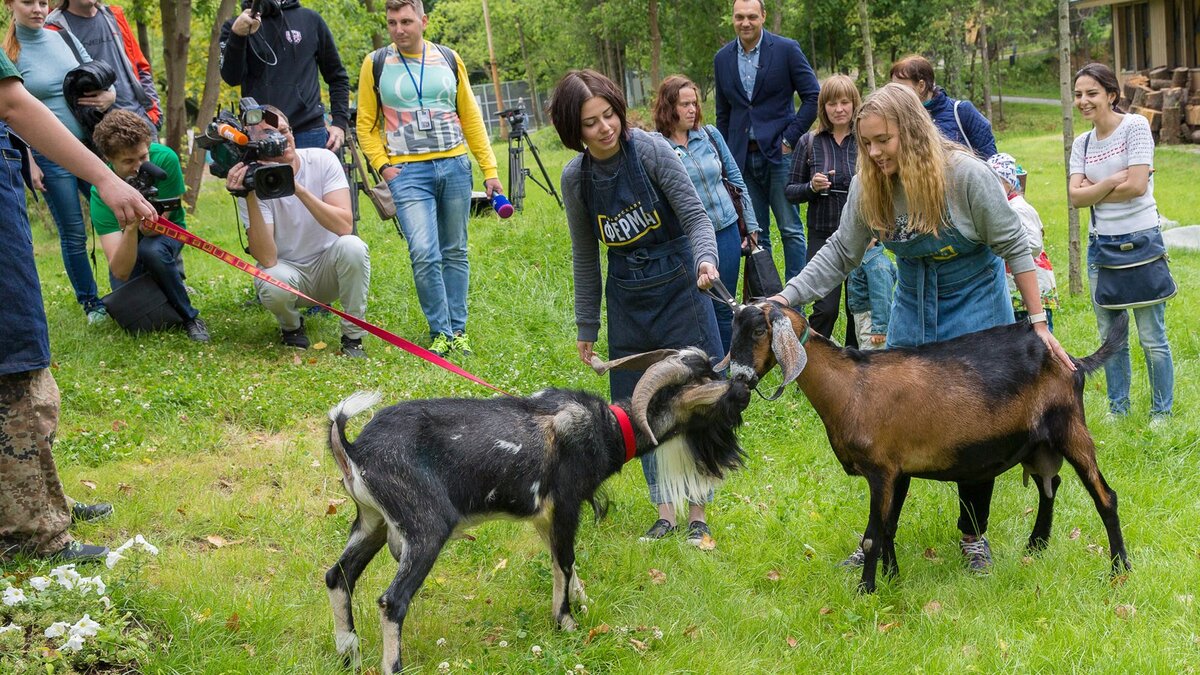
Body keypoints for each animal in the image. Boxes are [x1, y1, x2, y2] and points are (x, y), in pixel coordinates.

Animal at [324, 348, 744, 667]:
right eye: (714, 387)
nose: (745, 387)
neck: (608, 428)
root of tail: (355, 450)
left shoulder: (545, 516)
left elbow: (564, 563)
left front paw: (583, 602)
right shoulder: (567, 503)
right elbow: (565, 561)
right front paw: (566, 622)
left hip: (373, 522)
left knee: (337, 576)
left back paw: (349, 655)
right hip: (425, 527)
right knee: (392, 601)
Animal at [724, 299, 1128, 588]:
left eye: (759, 329)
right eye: (733, 328)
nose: (739, 381)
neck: (851, 387)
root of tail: (1071, 360)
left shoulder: (881, 470)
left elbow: (872, 536)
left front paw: (866, 591)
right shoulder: (897, 470)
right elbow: (888, 529)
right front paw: (892, 580)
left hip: (1070, 428)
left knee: (1105, 496)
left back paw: (1119, 570)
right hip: (1036, 444)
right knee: (1050, 484)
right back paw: (1037, 545)